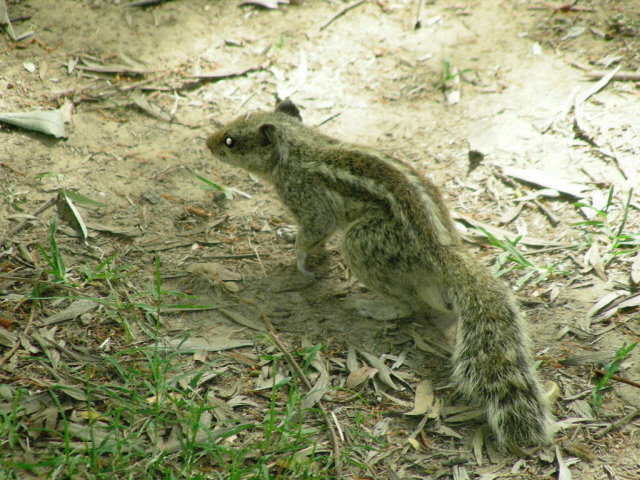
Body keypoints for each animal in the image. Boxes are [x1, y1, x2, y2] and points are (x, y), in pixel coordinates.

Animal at [206, 99, 556, 448]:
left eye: (230, 140)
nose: (207, 144)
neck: (299, 147)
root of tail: (439, 250)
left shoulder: (308, 201)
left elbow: (314, 232)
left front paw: (301, 259)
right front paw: (293, 239)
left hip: (360, 244)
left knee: (409, 304)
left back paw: (374, 308)